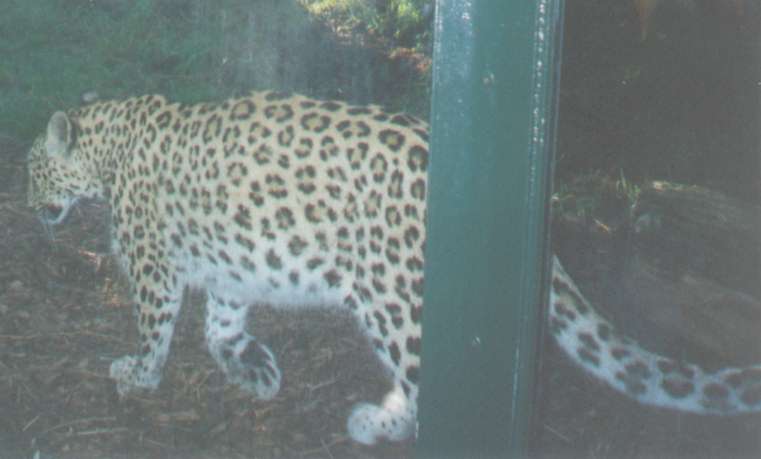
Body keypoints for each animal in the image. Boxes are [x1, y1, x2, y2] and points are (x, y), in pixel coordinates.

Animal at [26, 90, 761, 445]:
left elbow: (157, 331)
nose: (27, 204)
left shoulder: (153, 265)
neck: (109, 145)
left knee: (428, 377)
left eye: (30, 169)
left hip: (393, 294)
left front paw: (136, 375)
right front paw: (252, 370)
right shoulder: (230, 265)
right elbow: (220, 326)